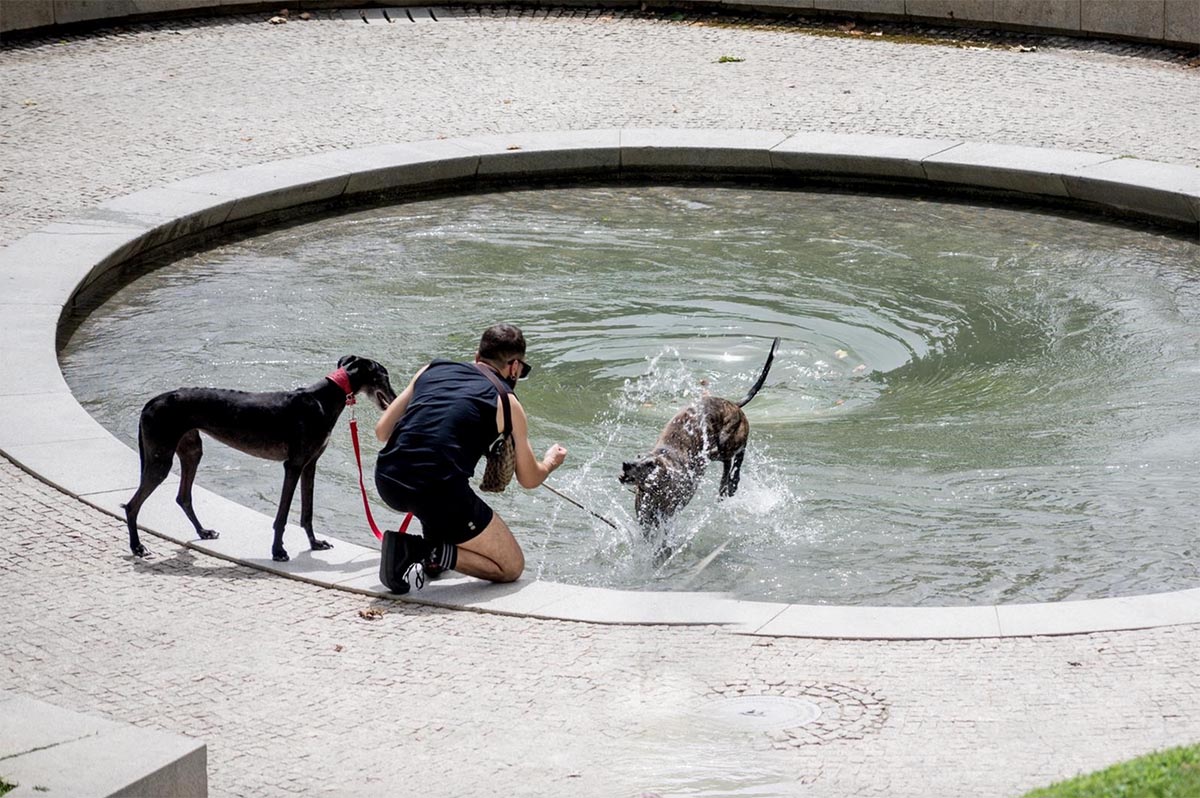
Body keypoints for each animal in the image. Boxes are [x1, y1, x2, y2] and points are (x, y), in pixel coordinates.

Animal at [619, 333, 777, 528]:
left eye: (650, 464)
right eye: (638, 456)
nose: (626, 464)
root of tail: (733, 404)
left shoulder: (672, 509)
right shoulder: (646, 518)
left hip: (723, 444)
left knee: (736, 456)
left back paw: (731, 483)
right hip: (713, 452)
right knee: (729, 463)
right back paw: (726, 486)